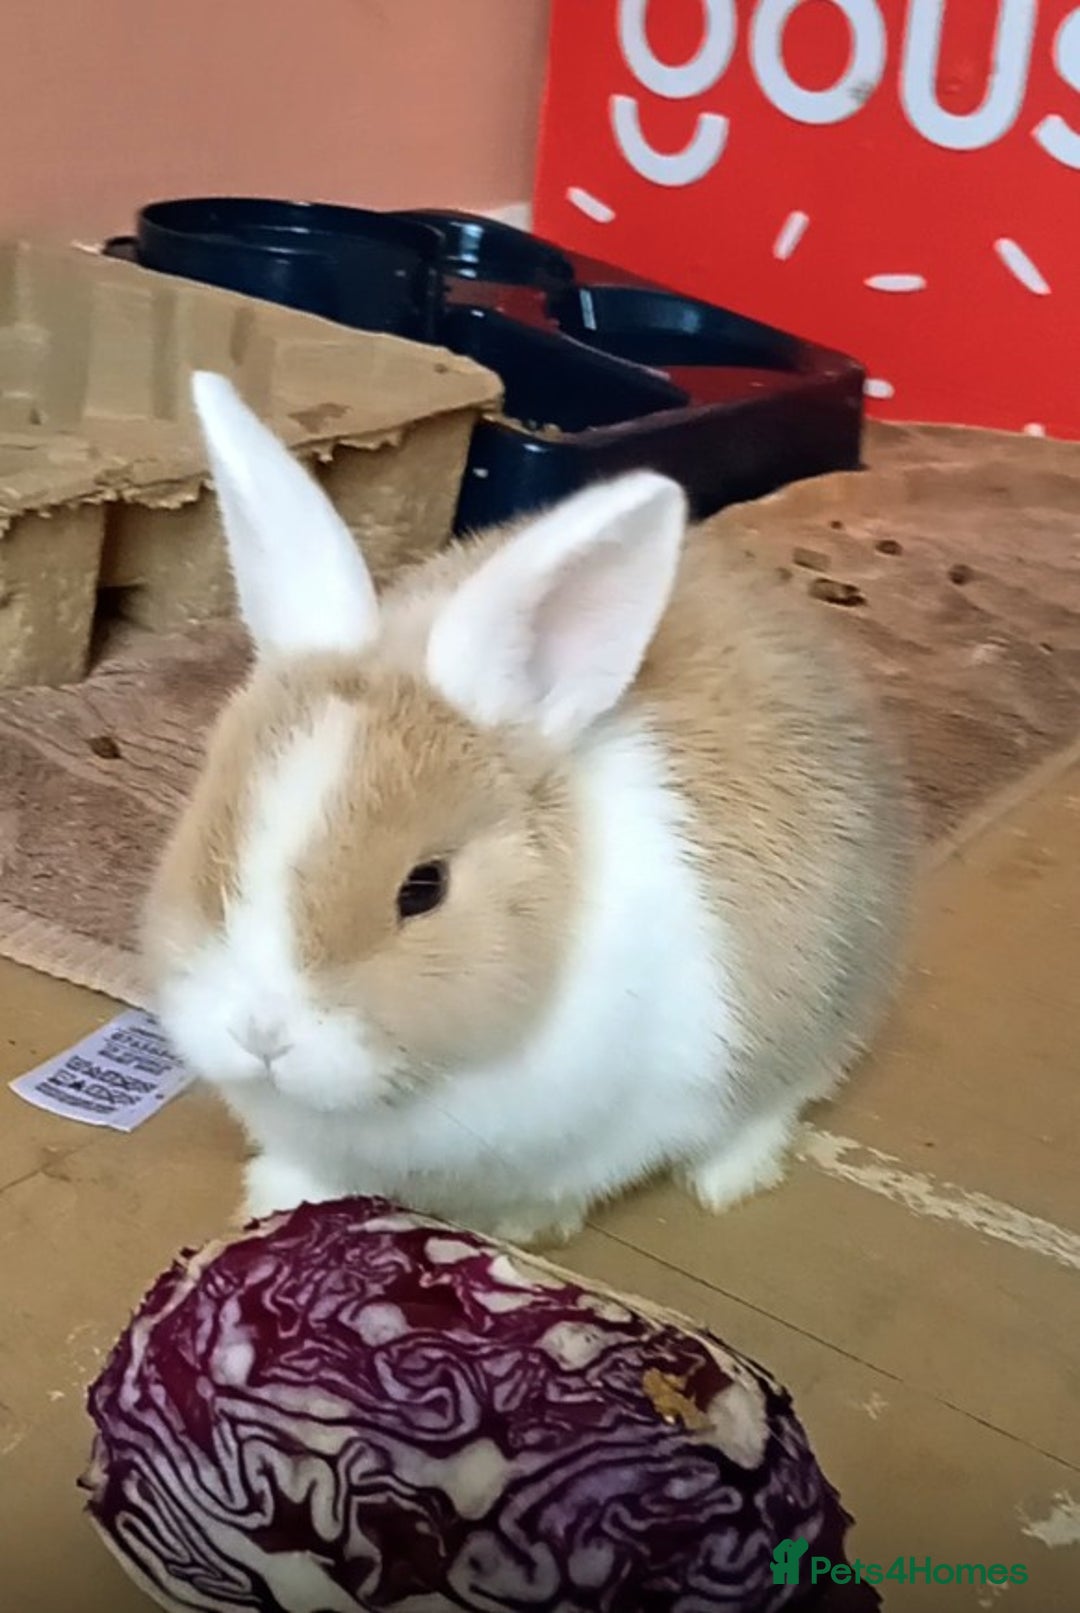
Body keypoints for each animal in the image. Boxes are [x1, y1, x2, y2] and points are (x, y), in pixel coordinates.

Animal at [143, 371, 914, 1247]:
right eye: (216, 845)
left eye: (424, 888)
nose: (262, 1035)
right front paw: (273, 1196)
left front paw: (524, 1225)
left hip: (819, 1005)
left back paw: (729, 1178)